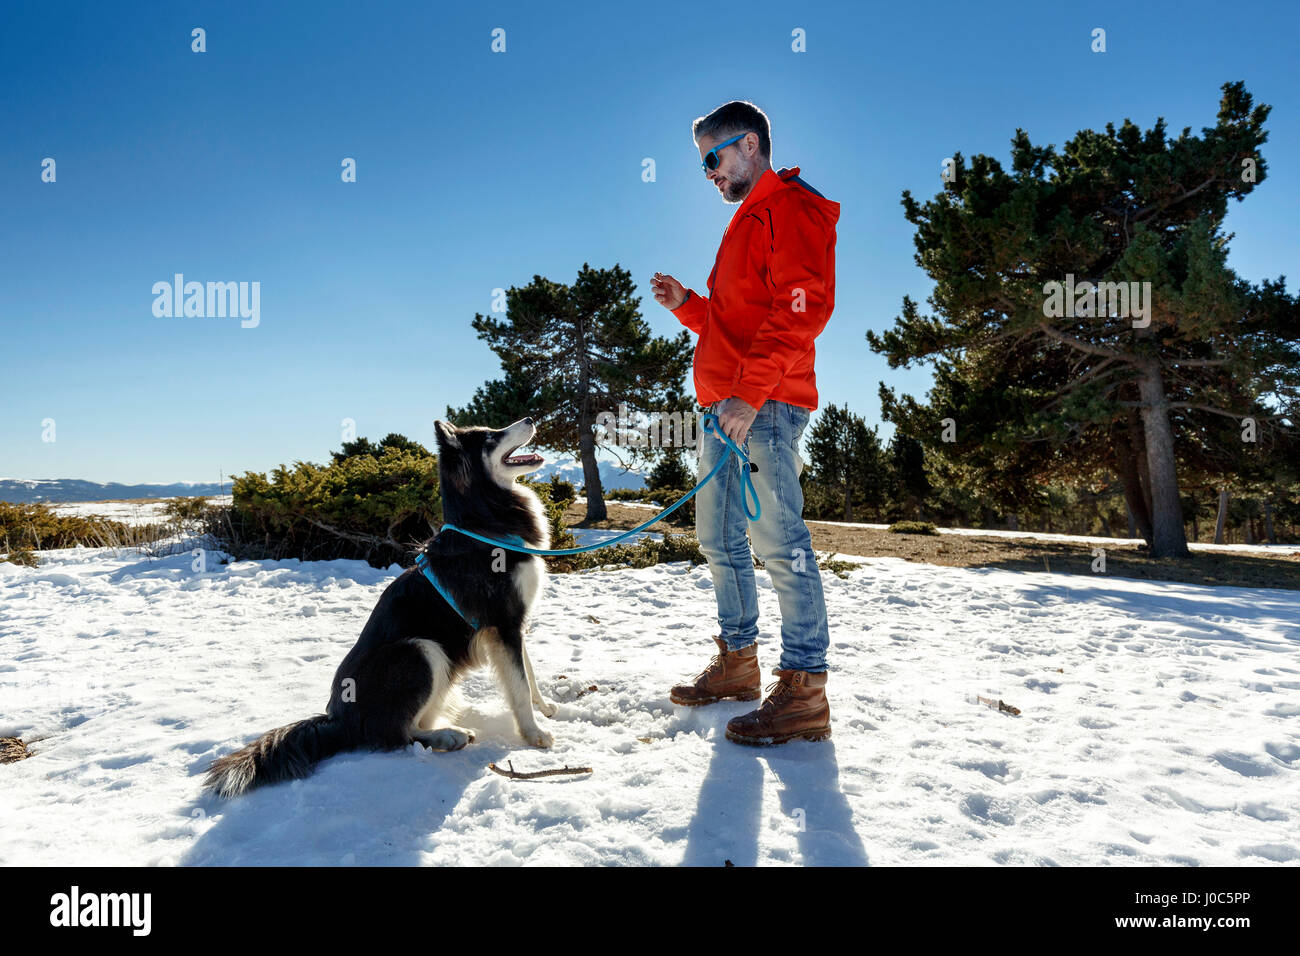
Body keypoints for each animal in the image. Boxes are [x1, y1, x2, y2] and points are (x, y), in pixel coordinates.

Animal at [200, 418, 556, 801]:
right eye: (491, 436)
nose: (530, 420)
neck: (485, 524)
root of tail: (337, 720)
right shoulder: (502, 624)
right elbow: (519, 686)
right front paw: (534, 733)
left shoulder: (515, 625)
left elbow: (529, 676)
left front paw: (547, 709)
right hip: (420, 650)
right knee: (396, 734)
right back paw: (448, 736)